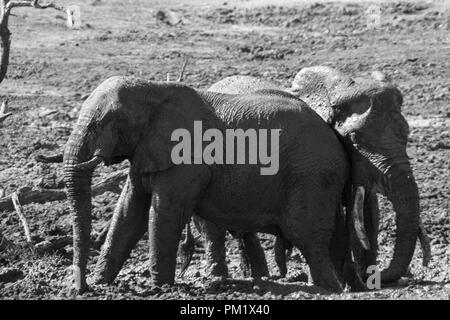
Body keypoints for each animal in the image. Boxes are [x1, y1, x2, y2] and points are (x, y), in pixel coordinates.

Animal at [63, 75, 352, 292]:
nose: (79, 286)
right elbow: (128, 212)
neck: (153, 90)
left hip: (312, 175)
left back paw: (327, 289)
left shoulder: (187, 158)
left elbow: (164, 214)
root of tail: (335, 136)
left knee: (305, 237)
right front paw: (101, 283)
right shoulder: (146, 151)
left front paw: (160, 288)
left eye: (111, 121)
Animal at [208, 66, 432, 286]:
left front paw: (360, 283)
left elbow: (367, 213)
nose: (380, 275)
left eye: (407, 133)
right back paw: (231, 277)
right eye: (355, 139)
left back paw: (259, 275)